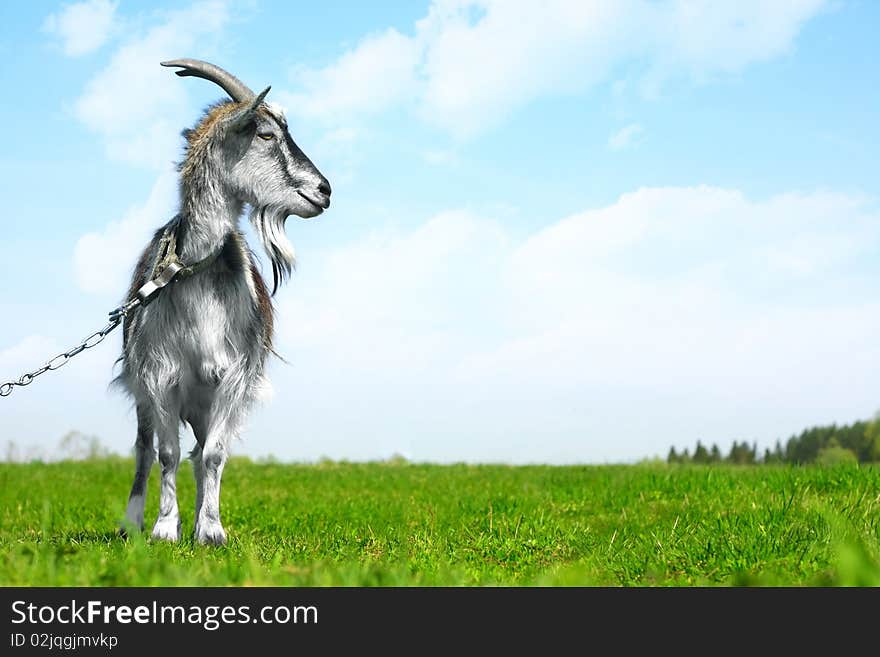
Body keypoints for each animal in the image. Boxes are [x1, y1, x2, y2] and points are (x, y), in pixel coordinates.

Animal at [118, 60, 332, 544]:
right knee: (143, 449)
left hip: (203, 400)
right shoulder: (160, 376)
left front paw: (211, 529)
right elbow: (165, 453)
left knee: (200, 453)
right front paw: (164, 528)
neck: (193, 272)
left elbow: (213, 455)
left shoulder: (233, 376)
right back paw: (132, 522)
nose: (325, 190)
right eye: (266, 134)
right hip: (147, 392)